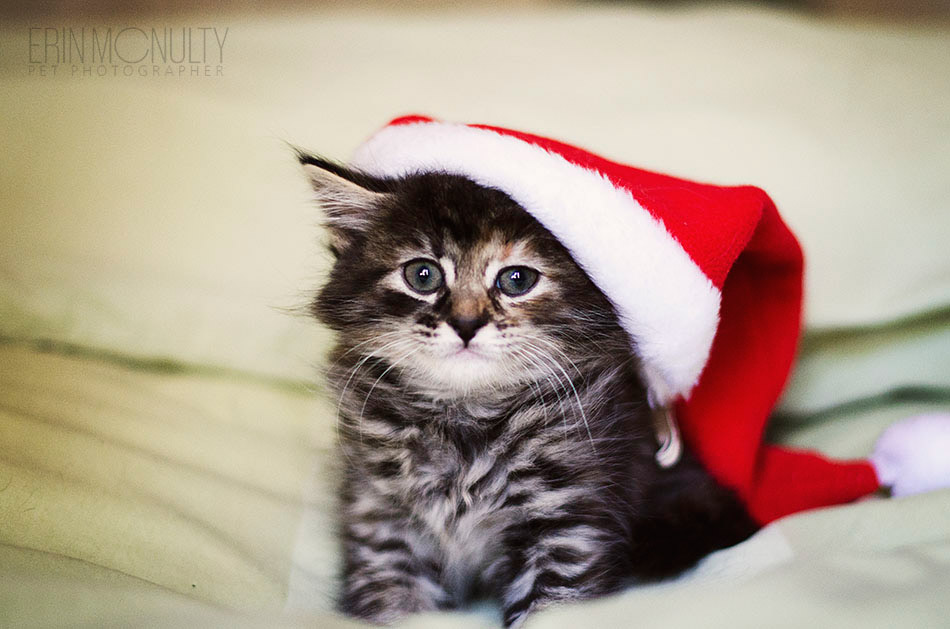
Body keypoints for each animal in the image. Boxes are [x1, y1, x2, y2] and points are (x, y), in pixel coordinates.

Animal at [302, 151, 764, 624]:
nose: (466, 324)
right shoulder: (381, 521)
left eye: (517, 280)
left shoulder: (566, 524)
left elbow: (551, 607)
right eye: (422, 275)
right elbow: (393, 604)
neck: (463, 416)